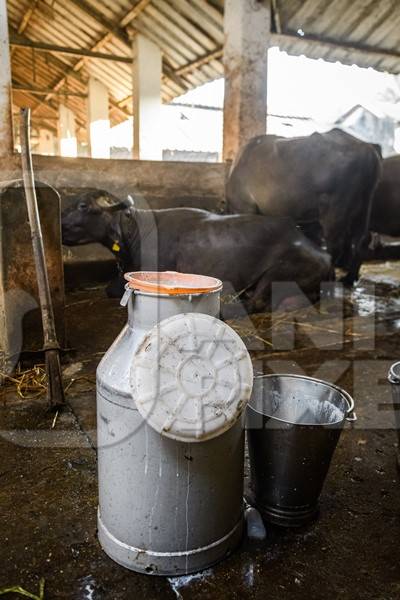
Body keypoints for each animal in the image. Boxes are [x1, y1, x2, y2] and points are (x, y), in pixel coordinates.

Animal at [225, 127, 382, 286]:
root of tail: (367, 149)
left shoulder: (245, 208)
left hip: (335, 212)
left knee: (335, 245)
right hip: (364, 208)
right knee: (360, 239)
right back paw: (350, 278)